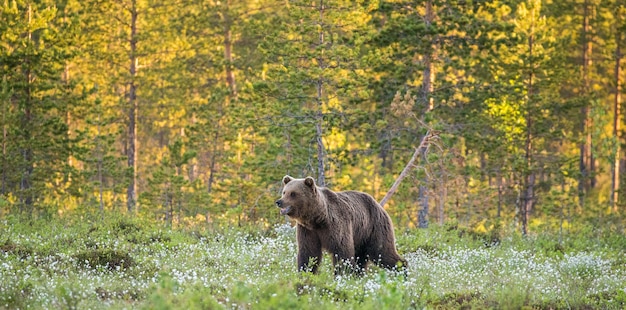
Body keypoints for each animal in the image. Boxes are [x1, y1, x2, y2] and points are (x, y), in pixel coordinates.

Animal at [272, 176, 404, 274]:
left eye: (293, 193)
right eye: (284, 192)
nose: (279, 201)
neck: (317, 218)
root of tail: (379, 206)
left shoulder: (336, 225)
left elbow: (342, 251)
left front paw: (342, 274)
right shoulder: (308, 230)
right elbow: (309, 252)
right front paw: (305, 272)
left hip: (374, 227)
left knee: (382, 252)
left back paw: (402, 270)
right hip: (361, 237)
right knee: (361, 259)